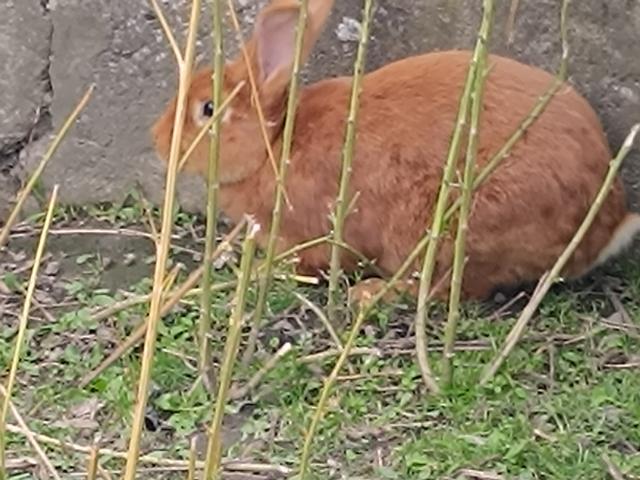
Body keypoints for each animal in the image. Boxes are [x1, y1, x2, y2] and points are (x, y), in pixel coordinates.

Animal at [152, 0, 640, 303]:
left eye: (207, 110)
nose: (158, 140)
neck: (276, 143)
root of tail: (607, 223)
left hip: (444, 226)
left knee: (448, 288)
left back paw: (370, 294)